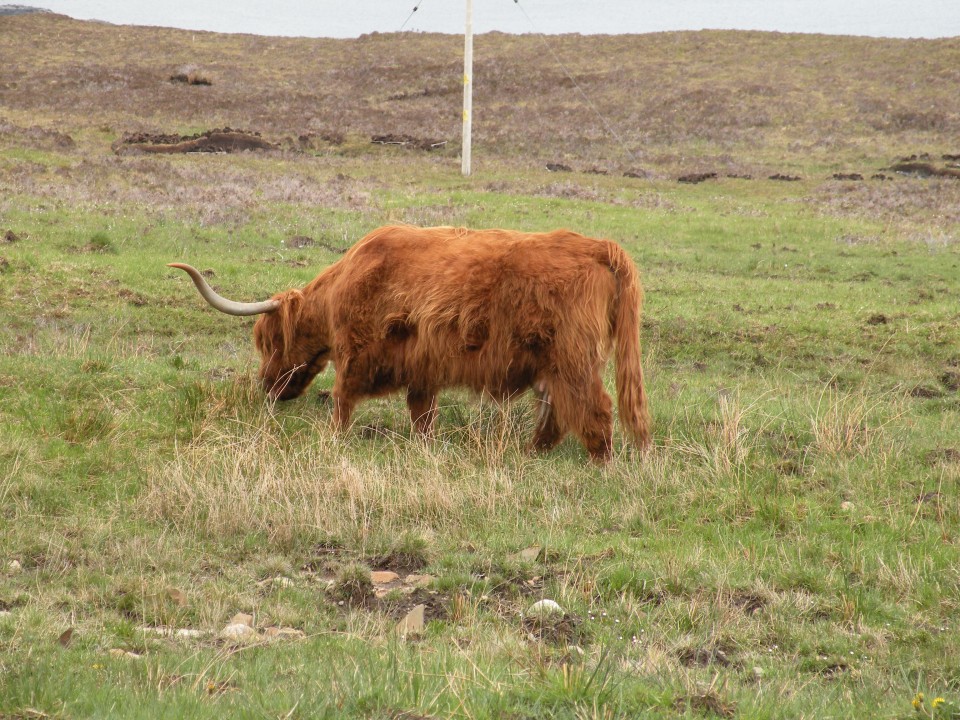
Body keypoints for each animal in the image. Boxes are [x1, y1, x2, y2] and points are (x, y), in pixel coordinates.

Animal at [172, 225, 652, 462]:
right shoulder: (424, 368)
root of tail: (599, 247)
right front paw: (423, 446)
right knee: (554, 413)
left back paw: (601, 464)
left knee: (595, 409)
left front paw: (334, 438)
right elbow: (421, 413)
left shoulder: (357, 352)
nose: (268, 387)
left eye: (268, 342)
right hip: (550, 364)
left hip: (573, 358)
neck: (344, 283)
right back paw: (530, 454)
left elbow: (343, 398)